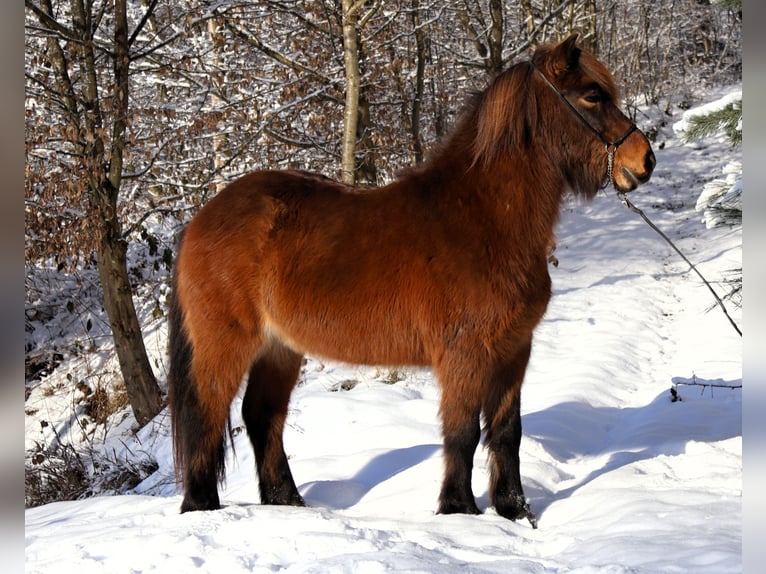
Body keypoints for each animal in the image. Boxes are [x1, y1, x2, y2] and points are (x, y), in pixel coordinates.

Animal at [167, 33, 655, 528]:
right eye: (592, 96)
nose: (645, 160)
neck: (481, 218)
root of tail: (199, 221)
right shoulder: (464, 355)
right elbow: (461, 433)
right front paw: (458, 511)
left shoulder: (514, 351)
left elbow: (506, 433)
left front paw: (515, 512)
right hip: (225, 345)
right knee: (207, 415)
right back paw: (202, 506)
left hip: (280, 348)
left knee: (263, 415)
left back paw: (287, 502)